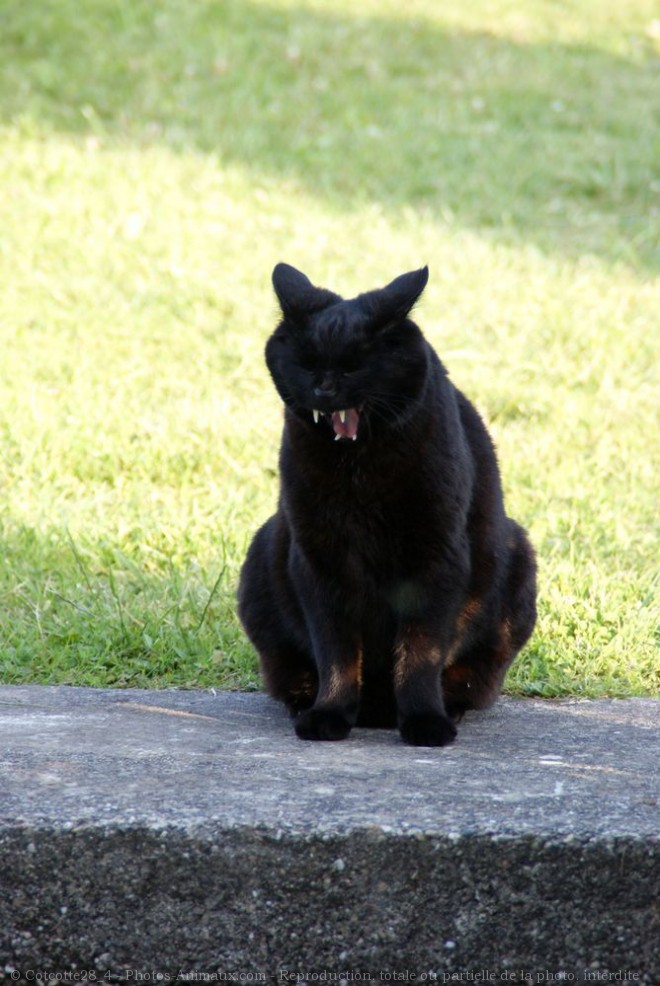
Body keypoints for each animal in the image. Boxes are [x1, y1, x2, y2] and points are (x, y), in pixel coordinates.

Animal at [237, 264, 536, 744]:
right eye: (307, 363)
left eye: (356, 365)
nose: (325, 389)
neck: (359, 472)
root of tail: (376, 712)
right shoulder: (320, 559)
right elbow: (336, 651)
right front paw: (329, 715)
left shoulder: (436, 561)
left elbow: (420, 653)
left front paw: (425, 723)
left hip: (517, 558)